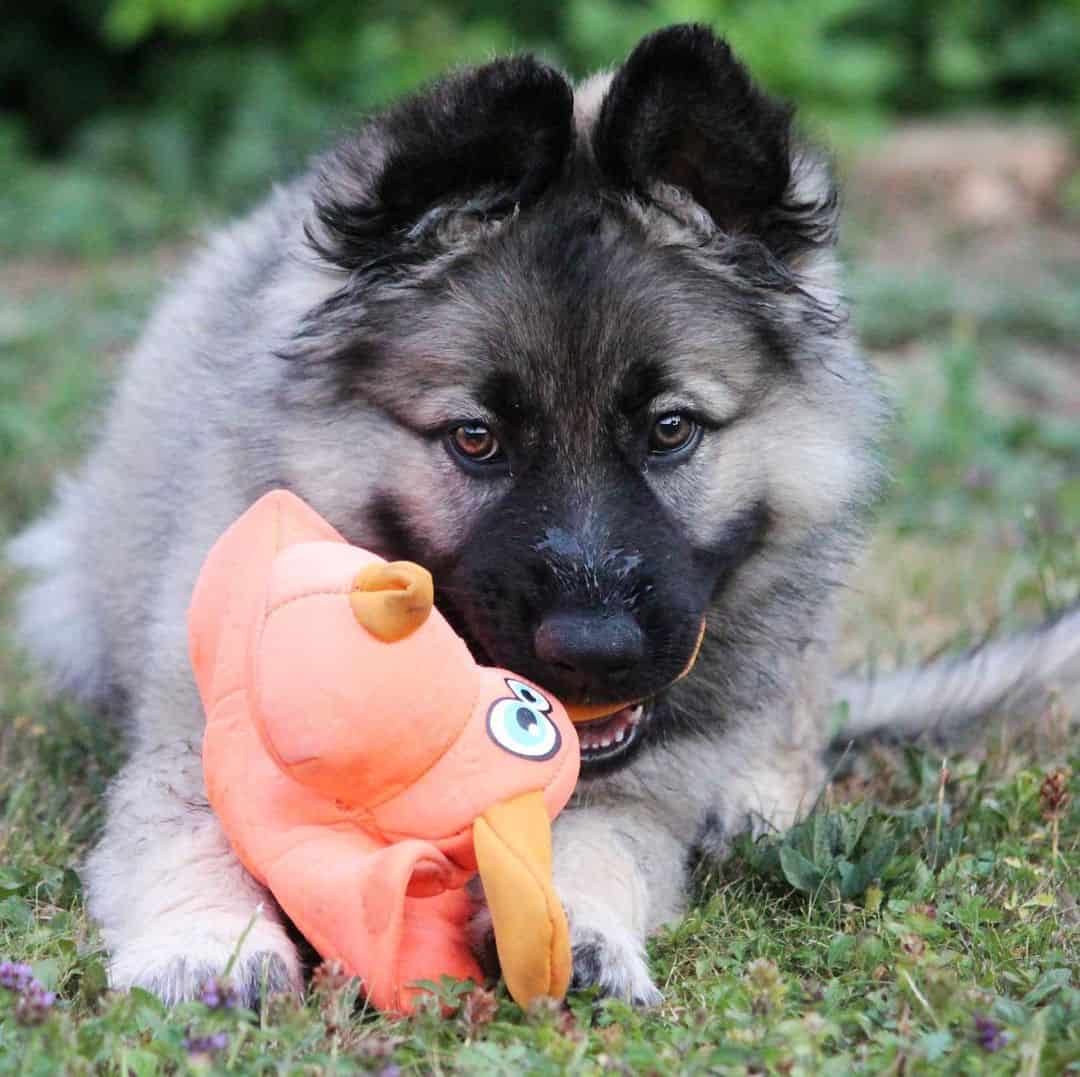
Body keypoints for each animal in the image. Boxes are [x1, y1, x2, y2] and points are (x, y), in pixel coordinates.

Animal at [10, 25, 1080, 1002]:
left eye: (670, 428)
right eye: (476, 438)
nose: (594, 652)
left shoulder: (642, 782)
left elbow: (599, 839)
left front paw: (580, 929)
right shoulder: (196, 725)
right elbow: (191, 824)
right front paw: (206, 945)